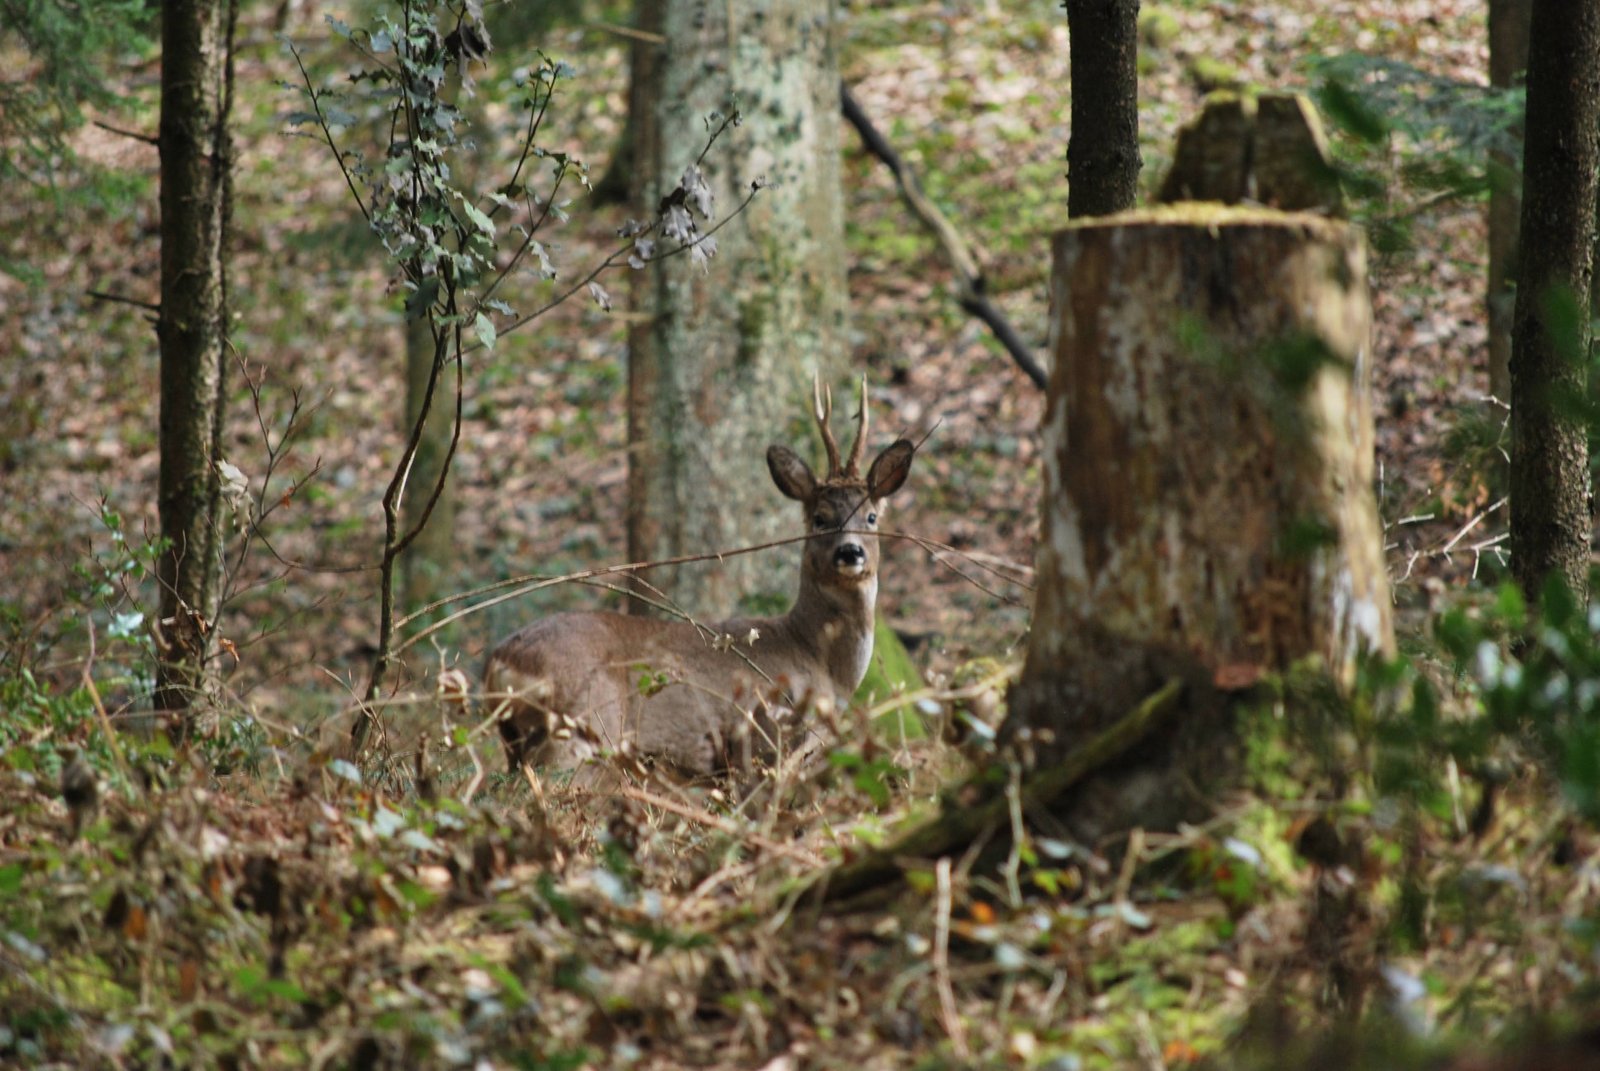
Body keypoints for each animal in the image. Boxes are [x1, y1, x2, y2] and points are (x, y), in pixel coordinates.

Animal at [484, 377, 915, 782]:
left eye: (871, 517)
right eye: (819, 518)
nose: (850, 552)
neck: (818, 661)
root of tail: (499, 661)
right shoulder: (760, 739)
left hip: (520, 741)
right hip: (581, 726)